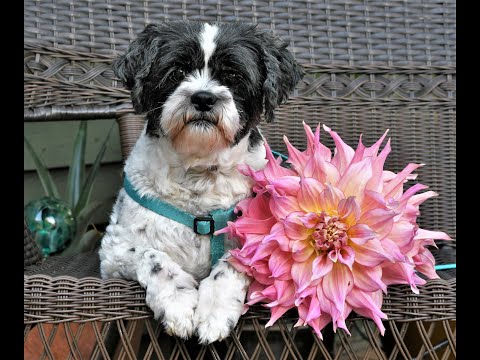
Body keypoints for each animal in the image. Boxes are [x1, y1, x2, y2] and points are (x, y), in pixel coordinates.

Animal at [98, 19, 304, 344]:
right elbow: (151, 255)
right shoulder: (113, 251)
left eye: (233, 75)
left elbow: (232, 262)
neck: (200, 174)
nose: (204, 98)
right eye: (177, 71)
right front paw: (178, 302)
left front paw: (214, 311)